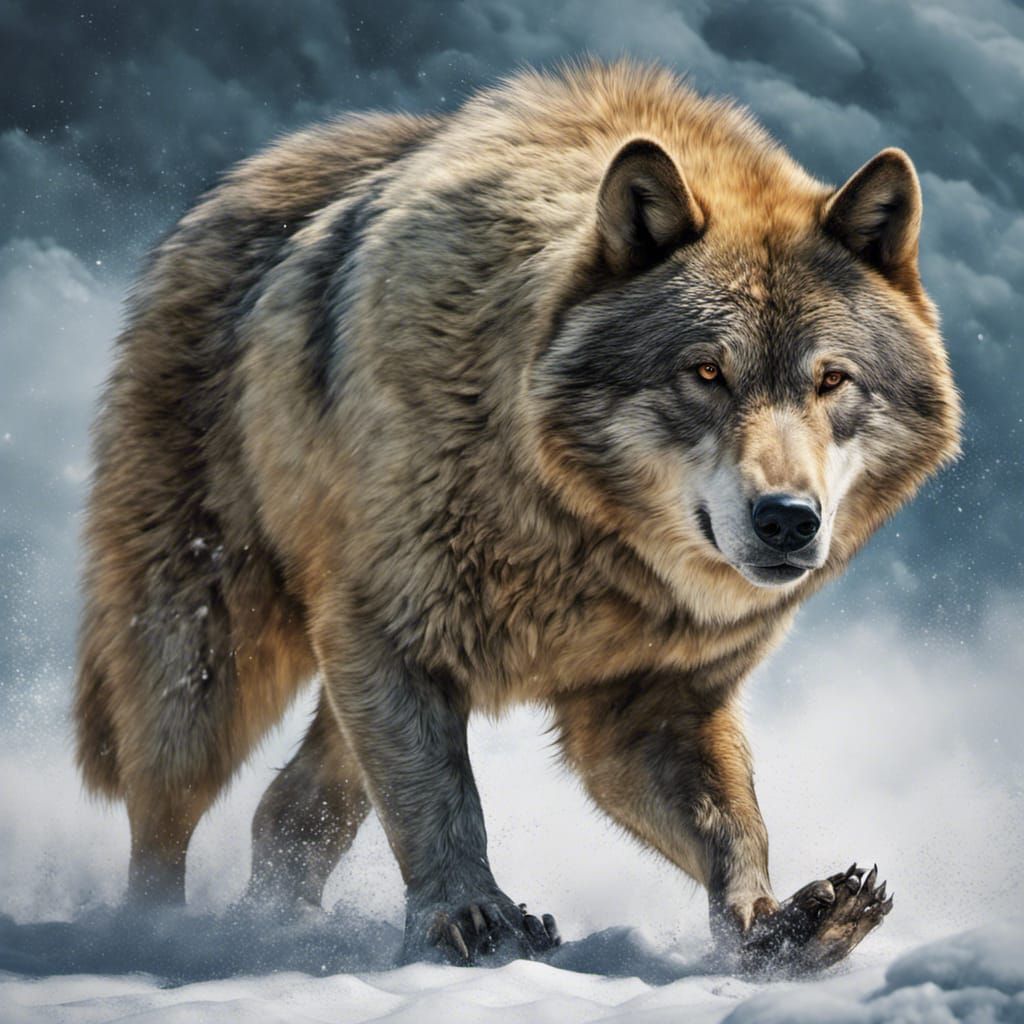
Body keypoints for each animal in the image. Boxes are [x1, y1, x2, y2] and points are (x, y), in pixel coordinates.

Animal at [74, 60, 960, 971]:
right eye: (707, 372)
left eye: (832, 380)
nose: (788, 519)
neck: (582, 538)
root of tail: (234, 183)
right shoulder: (388, 638)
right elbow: (443, 806)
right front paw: (472, 917)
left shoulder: (652, 707)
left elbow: (735, 827)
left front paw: (777, 926)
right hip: (211, 655)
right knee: (166, 808)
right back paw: (157, 935)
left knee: (290, 812)